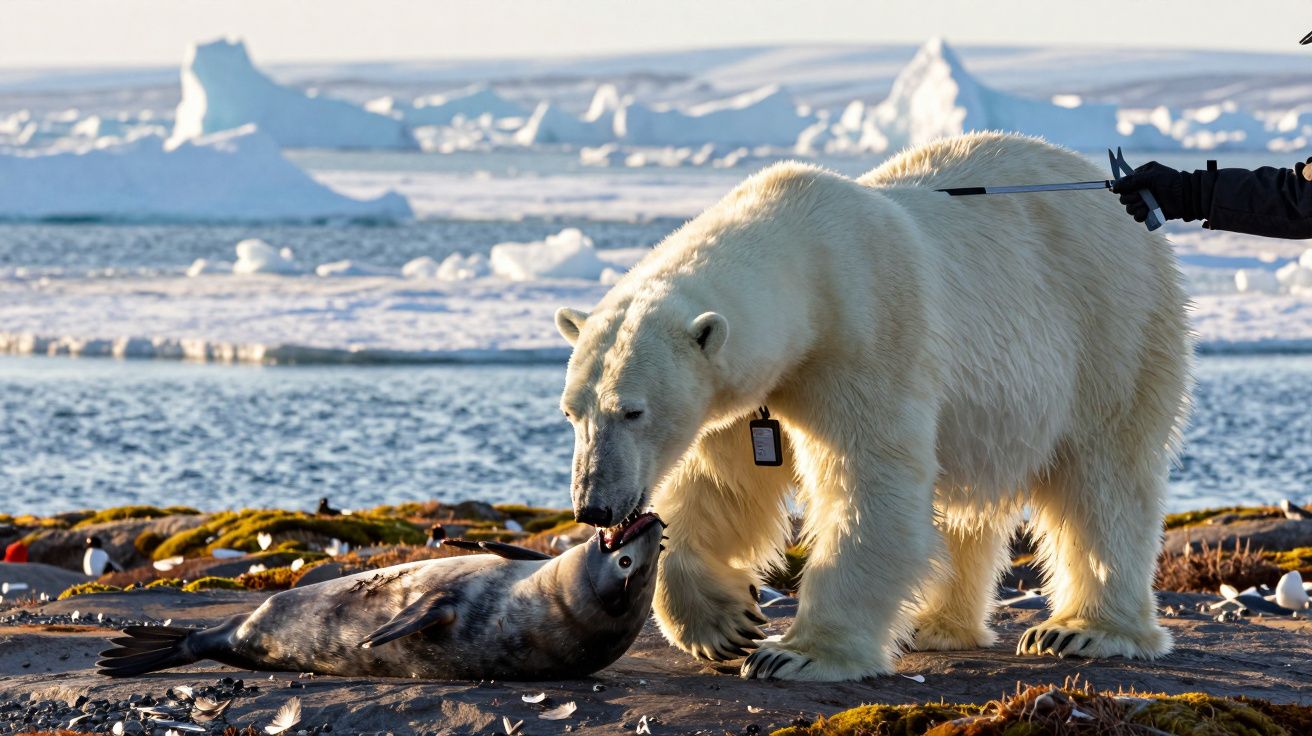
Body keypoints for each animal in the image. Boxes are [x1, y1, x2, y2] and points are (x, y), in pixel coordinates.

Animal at [553, 131, 1191, 681]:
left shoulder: (867, 337)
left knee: (1103, 478)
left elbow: (867, 485)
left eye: (632, 411)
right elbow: (720, 485)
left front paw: (794, 654)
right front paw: (724, 624)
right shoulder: (747, 390)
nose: (594, 506)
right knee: (965, 507)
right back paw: (937, 624)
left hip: (1111, 325)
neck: (806, 254)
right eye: (572, 412)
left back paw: (1083, 630)